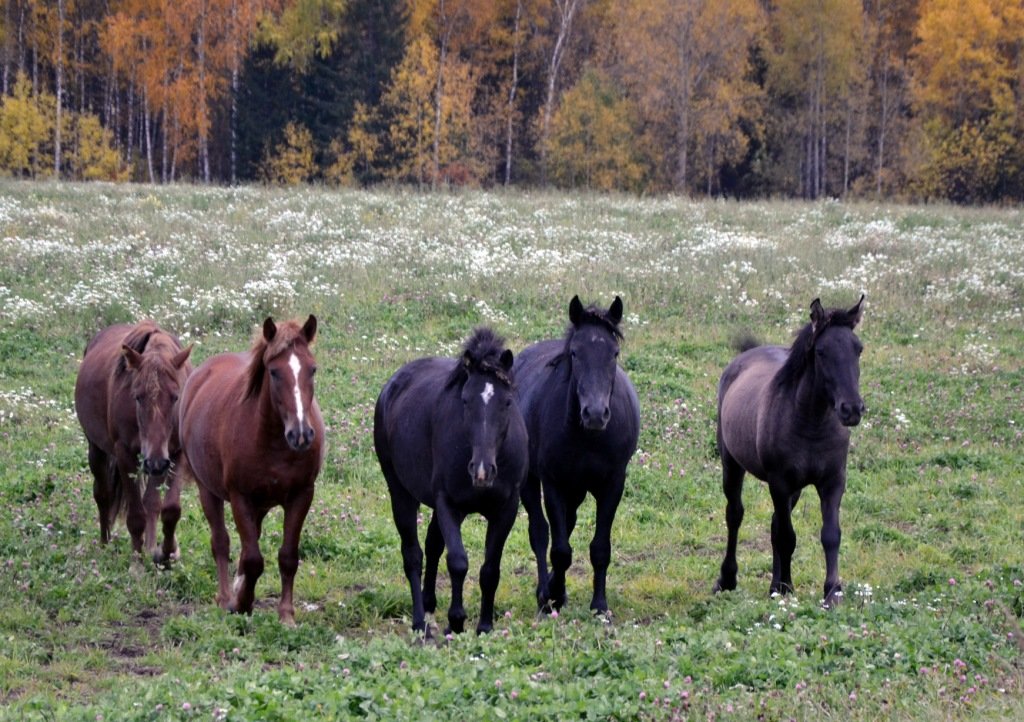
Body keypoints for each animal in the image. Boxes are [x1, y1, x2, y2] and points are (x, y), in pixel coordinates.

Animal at [74, 321, 192, 565]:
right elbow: (136, 516)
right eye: (137, 397)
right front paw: (136, 563)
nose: (156, 462)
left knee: (151, 503)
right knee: (102, 494)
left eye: (175, 397)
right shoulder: (125, 454)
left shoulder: (175, 455)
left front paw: (165, 553)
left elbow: (168, 509)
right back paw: (105, 543)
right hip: (97, 450)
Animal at [178, 315, 323, 626]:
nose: (301, 434)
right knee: (221, 543)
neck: (274, 442)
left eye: (312, 368)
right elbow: (253, 559)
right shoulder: (240, 496)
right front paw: (241, 603)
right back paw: (225, 598)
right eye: (274, 372)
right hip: (209, 492)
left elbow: (287, 557)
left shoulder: (301, 495)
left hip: (261, 504)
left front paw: (286, 615)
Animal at [374, 329, 528, 634]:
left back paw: (429, 602)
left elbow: (490, 569)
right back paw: (420, 622)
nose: (482, 470)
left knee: (432, 545)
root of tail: (391, 386)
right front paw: (456, 621)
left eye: (506, 402)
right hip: (400, 493)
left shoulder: (506, 508)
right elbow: (457, 561)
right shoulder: (448, 503)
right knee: (413, 555)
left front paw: (484, 626)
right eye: (465, 400)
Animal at [520, 294, 638, 610]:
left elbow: (600, 549)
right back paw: (545, 591)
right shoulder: (553, 484)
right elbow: (559, 549)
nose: (595, 414)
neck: (589, 437)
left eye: (614, 353)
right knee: (540, 532)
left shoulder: (612, 485)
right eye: (575, 353)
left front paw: (599, 605)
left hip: (577, 489)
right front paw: (554, 596)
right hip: (531, 481)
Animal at [716, 294, 868, 606]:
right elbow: (787, 536)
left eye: (858, 349)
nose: (851, 409)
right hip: (732, 464)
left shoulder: (832, 481)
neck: (811, 423)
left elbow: (830, 534)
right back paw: (727, 579)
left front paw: (832, 592)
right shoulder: (780, 482)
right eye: (821, 352)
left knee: (775, 523)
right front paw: (785, 586)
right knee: (735, 514)